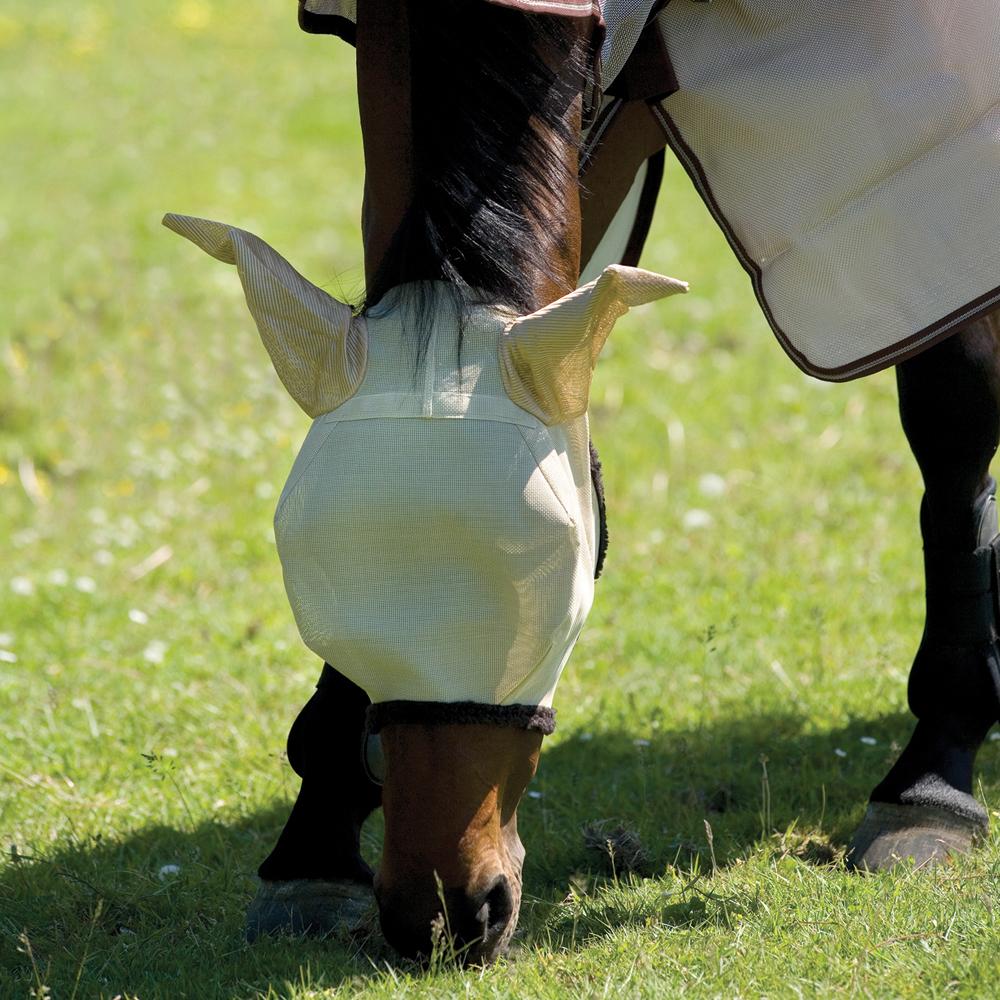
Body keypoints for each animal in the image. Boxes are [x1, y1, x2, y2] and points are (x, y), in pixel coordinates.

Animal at [174, 0, 1000, 968]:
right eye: (316, 580)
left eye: (549, 578)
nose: (443, 913)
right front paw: (314, 846)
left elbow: (952, 423)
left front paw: (934, 779)